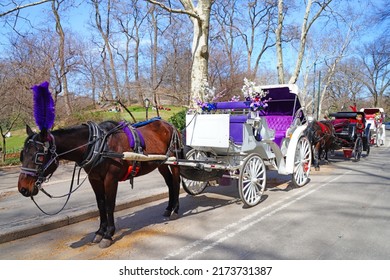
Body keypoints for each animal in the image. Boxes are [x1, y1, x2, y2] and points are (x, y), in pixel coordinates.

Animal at [17, 118, 183, 247]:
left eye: (39, 156)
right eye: (22, 155)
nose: (23, 188)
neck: (99, 146)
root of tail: (169, 124)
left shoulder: (111, 179)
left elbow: (109, 205)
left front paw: (108, 235)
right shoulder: (95, 179)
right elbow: (101, 204)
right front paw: (100, 232)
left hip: (174, 160)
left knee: (175, 182)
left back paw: (175, 210)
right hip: (161, 163)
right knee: (169, 183)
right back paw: (169, 208)